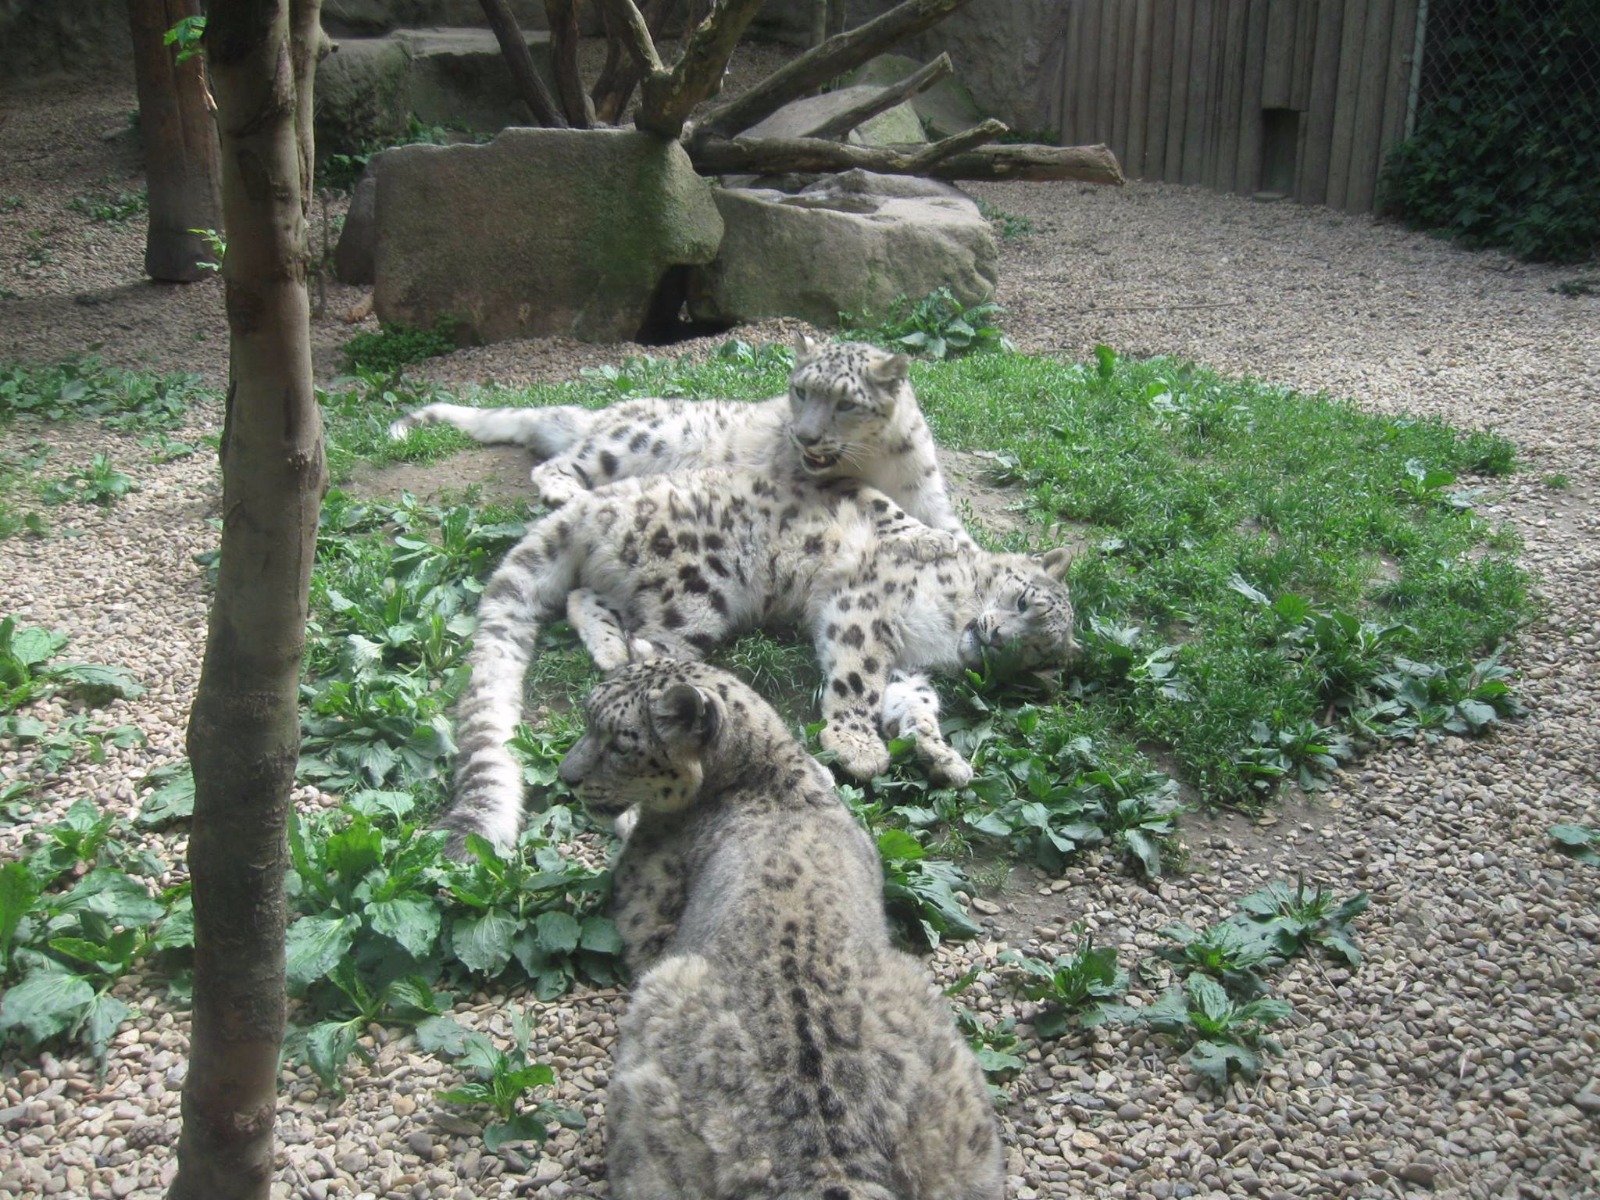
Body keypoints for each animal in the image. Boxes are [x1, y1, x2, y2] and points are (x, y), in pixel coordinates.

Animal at [387, 331, 960, 534]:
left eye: (845, 402)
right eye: (800, 390)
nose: (805, 437)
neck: (878, 462)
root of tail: (606, 412)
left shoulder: (926, 491)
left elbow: (946, 525)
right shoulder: (819, 483)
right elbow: (875, 503)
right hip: (625, 447)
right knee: (555, 463)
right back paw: (563, 491)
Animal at [438, 464, 1075, 851]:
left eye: (1032, 651)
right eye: (1023, 601)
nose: (997, 640)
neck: (944, 635)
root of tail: (596, 504)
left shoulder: (908, 666)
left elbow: (914, 704)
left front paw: (943, 757)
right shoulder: (865, 610)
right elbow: (858, 680)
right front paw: (858, 747)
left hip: (636, 587)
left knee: (584, 599)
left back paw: (608, 645)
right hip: (697, 592)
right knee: (653, 657)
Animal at [556, 659, 998, 1200]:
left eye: (620, 743)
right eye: (587, 717)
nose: (567, 776)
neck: (769, 768)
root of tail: (829, 1163)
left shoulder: (644, 911)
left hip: (660, 1000)